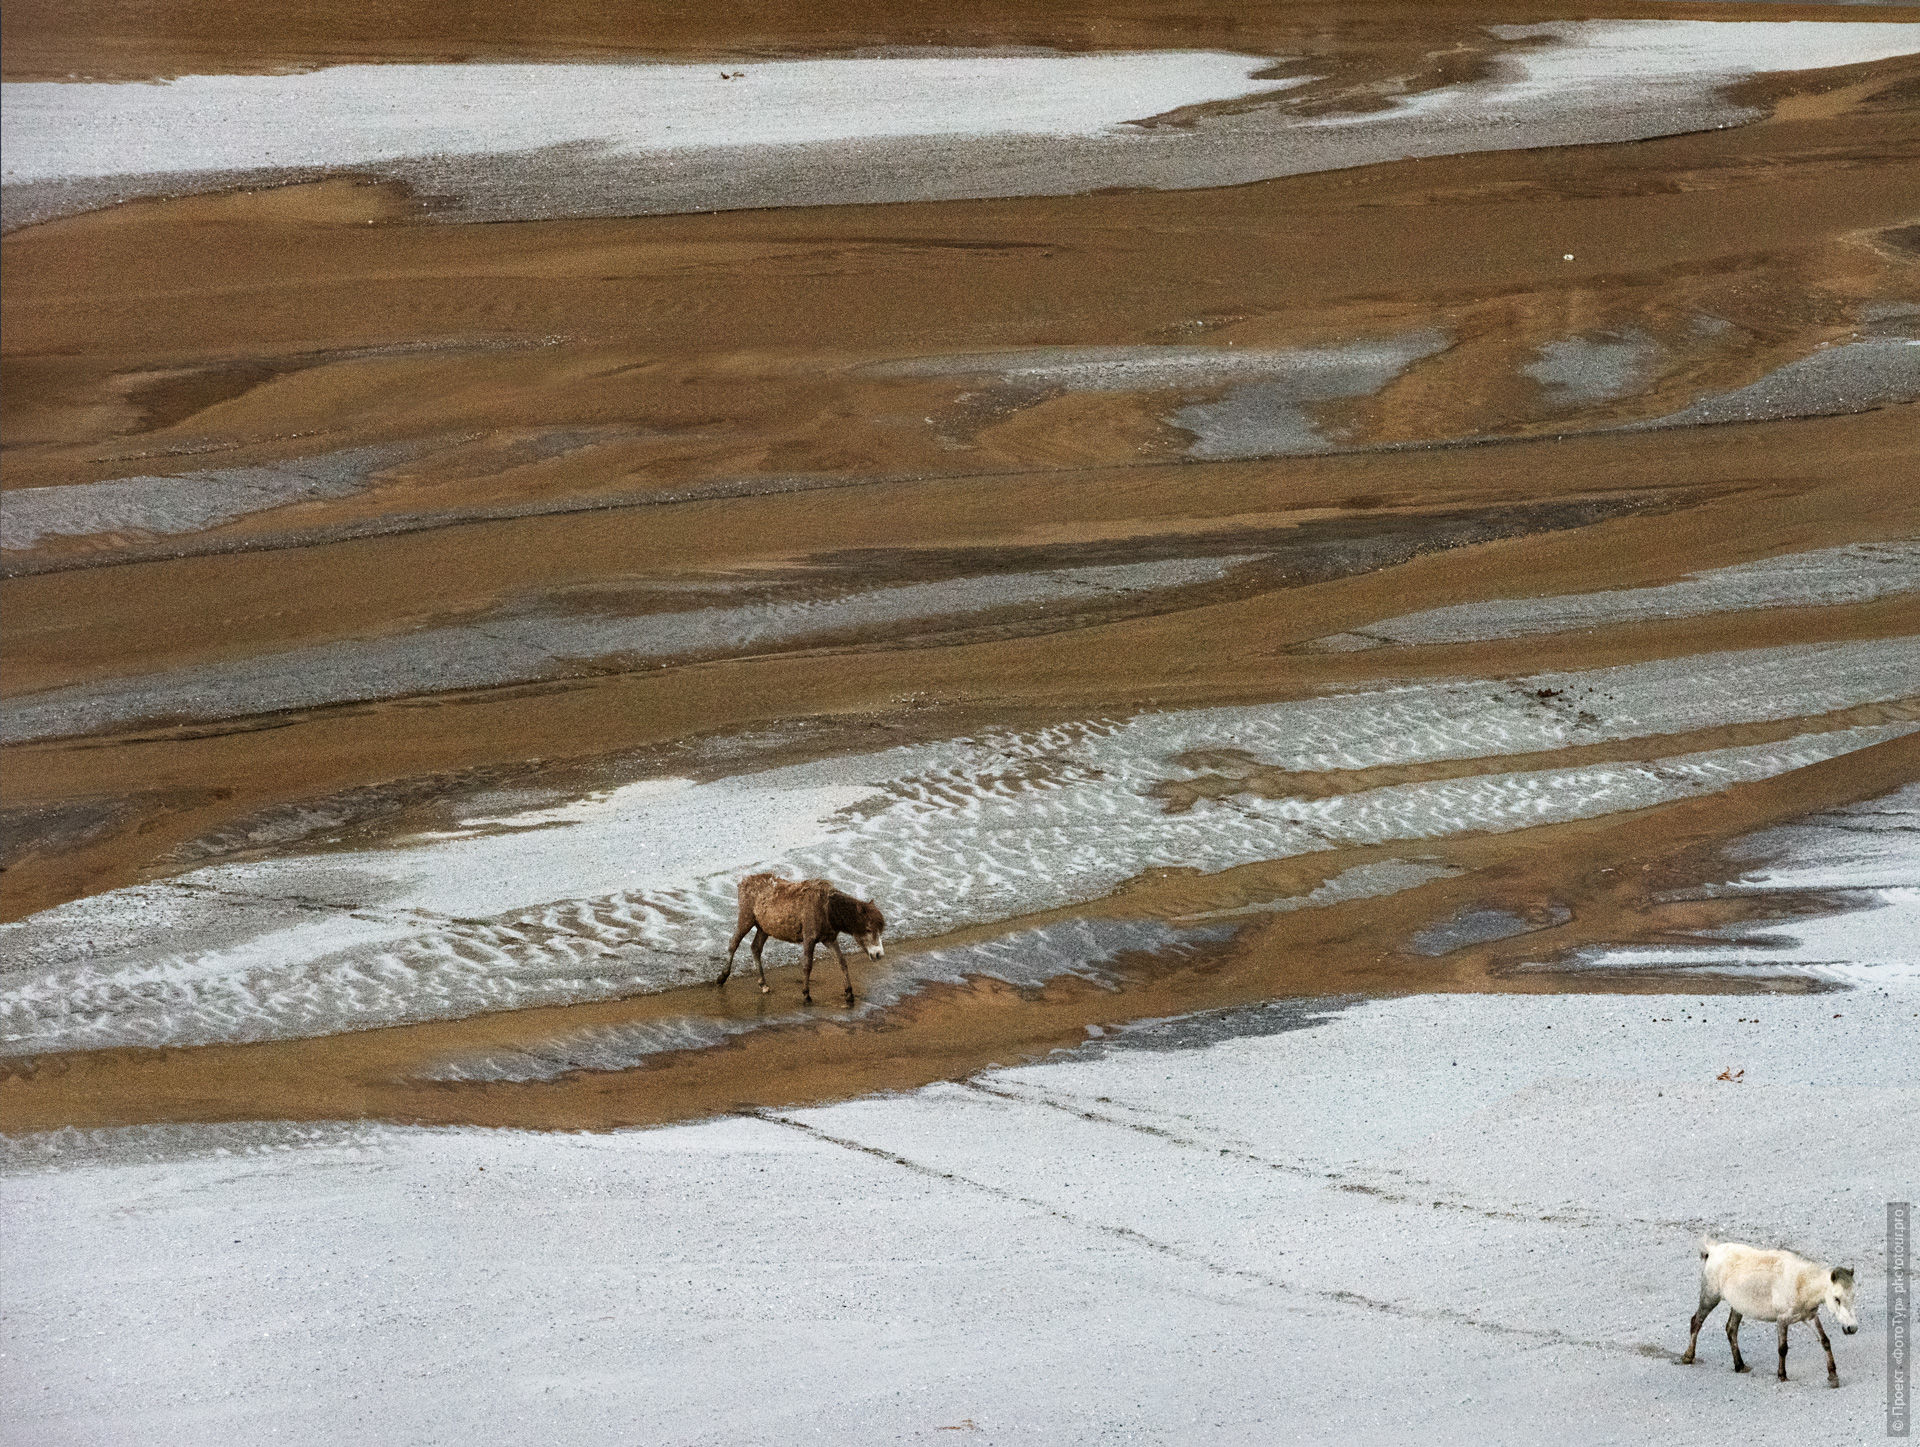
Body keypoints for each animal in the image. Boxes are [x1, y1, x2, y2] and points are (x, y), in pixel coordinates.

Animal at [718, 867, 887, 1005]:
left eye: (880, 929)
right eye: (868, 929)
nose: (879, 954)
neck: (830, 912)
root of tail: (742, 882)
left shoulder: (829, 939)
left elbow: (842, 962)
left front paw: (849, 993)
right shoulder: (809, 937)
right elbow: (807, 965)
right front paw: (806, 994)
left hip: (763, 927)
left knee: (755, 948)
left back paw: (763, 984)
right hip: (746, 917)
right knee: (733, 943)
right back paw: (722, 977)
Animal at [1681, 1235, 1858, 1381]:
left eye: (1854, 1295)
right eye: (1837, 1298)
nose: (1852, 1328)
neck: (1802, 1283)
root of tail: (1712, 1250)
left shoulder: (1810, 1317)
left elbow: (1825, 1341)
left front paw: (1833, 1376)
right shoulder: (1782, 1320)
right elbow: (1783, 1348)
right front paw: (1782, 1375)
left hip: (1738, 1306)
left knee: (1731, 1329)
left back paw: (1740, 1365)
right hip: (1710, 1296)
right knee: (1696, 1321)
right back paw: (1688, 1357)